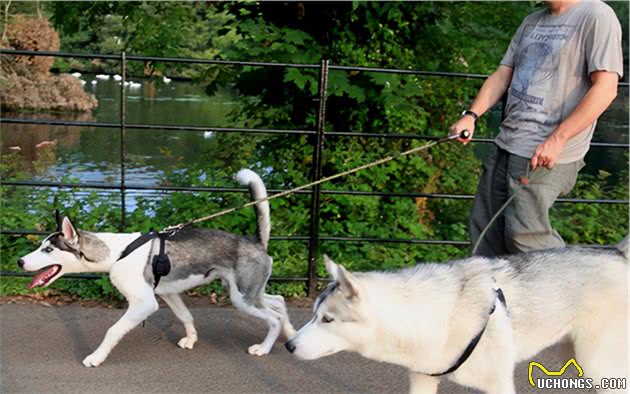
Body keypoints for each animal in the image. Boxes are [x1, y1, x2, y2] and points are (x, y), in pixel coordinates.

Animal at [17, 169, 298, 366]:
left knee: (272, 317)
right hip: (249, 293)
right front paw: (191, 339)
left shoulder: (144, 304)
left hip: (242, 299)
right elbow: (186, 316)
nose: (20, 261)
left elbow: (112, 331)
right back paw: (291, 332)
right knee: (279, 301)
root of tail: (256, 241)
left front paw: (96, 357)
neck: (118, 253)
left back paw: (264, 347)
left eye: (48, 250)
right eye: (41, 245)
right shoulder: (168, 293)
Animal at [288, 240, 630, 394]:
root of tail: (617, 252)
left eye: (327, 320)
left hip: (598, 365)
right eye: (313, 315)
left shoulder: (499, 385)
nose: (289, 346)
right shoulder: (422, 379)